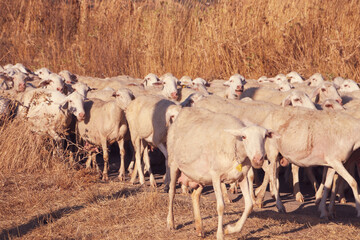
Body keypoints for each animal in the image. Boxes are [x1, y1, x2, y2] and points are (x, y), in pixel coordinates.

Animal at [166, 107, 276, 240]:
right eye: (244, 137)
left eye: (265, 136)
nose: (258, 159)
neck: (234, 145)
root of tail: (184, 111)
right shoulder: (216, 176)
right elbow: (221, 206)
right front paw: (220, 234)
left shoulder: (242, 177)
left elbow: (249, 205)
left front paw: (231, 229)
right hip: (173, 164)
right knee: (171, 192)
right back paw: (171, 223)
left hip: (201, 176)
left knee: (195, 196)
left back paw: (199, 228)